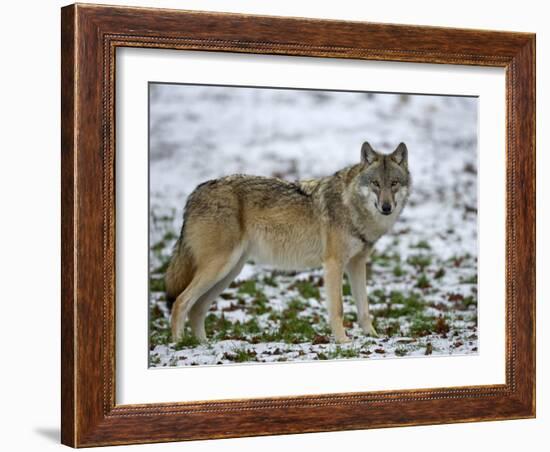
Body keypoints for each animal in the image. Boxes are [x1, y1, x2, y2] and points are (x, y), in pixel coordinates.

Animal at [166, 141, 412, 342]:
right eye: (375, 183)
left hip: (229, 272)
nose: (386, 207)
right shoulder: (334, 264)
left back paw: (203, 345)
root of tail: (194, 193)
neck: (352, 207)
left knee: (197, 308)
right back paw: (179, 345)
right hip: (219, 268)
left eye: (394, 183)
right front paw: (343, 342)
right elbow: (339, 309)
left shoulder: (357, 264)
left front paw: (373, 337)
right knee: (180, 302)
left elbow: (364, 309)